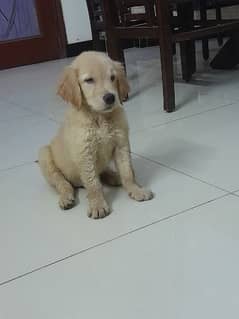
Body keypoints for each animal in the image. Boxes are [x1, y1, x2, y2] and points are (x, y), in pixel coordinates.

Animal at [38, 51, 152, 219]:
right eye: (89, 80)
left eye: (112, 77)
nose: (110, 97)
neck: (99, 117)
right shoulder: (85, 153)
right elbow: (93, 183)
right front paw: (98, 205)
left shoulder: (121, 144)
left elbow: (127, 172)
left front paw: (135, 189)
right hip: (44, 155)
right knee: (61, 182)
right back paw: (66, 198)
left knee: (104, 172)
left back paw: (115, 177)